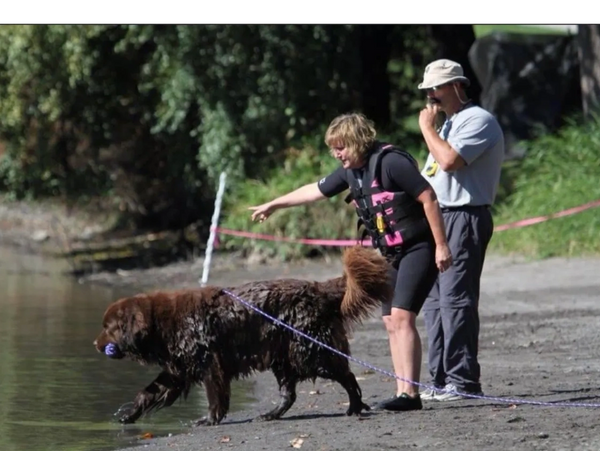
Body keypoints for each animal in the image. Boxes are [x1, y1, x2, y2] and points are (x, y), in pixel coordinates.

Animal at [92, 247, 394, 428]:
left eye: (108, 327)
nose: (95, 345)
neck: (161, 323)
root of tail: (318, 288)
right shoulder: (177, 370)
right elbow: (148, 392)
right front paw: (129, 414)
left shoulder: (210, 364)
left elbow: (215, 395)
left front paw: (209, 419)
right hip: (284, 358)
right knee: (289, 394)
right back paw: (270, 414)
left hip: (310, 352)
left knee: (347, 376)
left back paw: (355, 406)